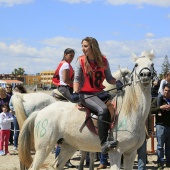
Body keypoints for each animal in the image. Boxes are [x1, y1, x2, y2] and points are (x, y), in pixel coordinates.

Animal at [18, 49, 155, 169]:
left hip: (68, 146)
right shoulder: (116, 152)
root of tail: (40, 112)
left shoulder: (130, 153)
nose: (145, 75)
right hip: (44, 148)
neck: (131, 113)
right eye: (136, 65)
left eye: (152, 64)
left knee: (57, 165)